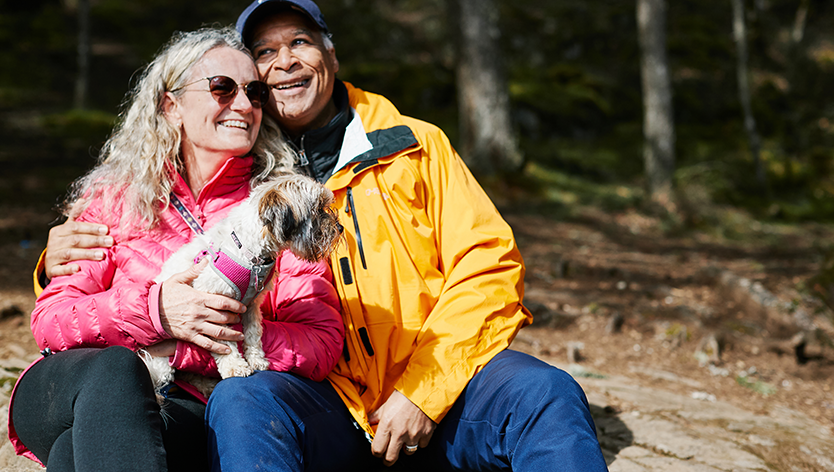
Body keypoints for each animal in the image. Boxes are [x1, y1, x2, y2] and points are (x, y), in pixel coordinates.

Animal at [143, 171, 342, 400]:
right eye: (318, 210)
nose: (339, 228)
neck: (251, 255)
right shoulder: (211, 306)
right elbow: (224, 343)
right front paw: (234, 366)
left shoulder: (252, 305)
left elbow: (253, 334)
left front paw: (256, 359)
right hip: (161, 364)